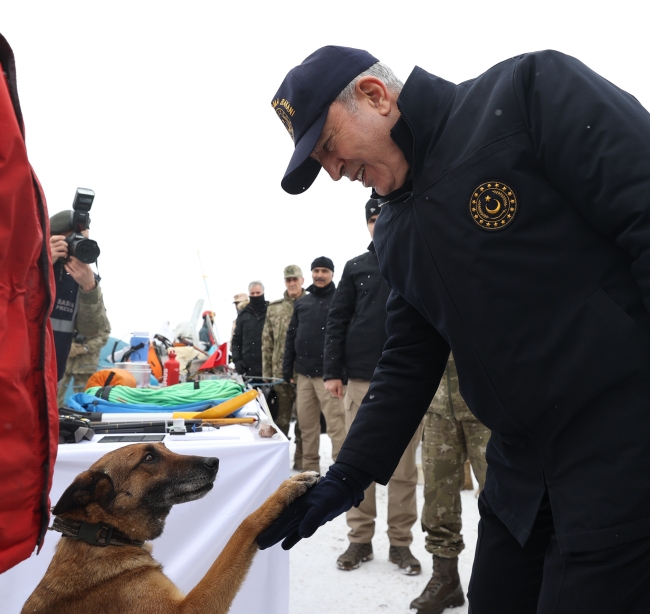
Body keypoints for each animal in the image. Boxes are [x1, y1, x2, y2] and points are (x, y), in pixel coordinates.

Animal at [24, 442, 318, 614]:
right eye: (149, 458)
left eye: (166, 447)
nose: (214, 461)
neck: (103, 536)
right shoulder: (188, 609)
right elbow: (243, 527)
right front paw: (284, 491)